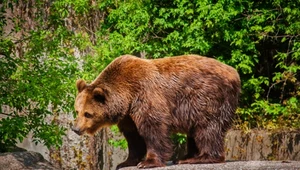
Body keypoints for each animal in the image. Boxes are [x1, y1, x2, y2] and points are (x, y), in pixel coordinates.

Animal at [71, 54, 240, 169]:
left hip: (207, 98)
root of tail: (234, 73)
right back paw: (187, 155)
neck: (127, 95)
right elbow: (133, 137)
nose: (76, 128)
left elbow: (153, 128)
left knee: (207, 128)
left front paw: (148, 162)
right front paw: (126, 162)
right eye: (77, 111)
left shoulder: (146, 96)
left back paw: (199, 157)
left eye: (88, 113)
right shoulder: (128, 115)